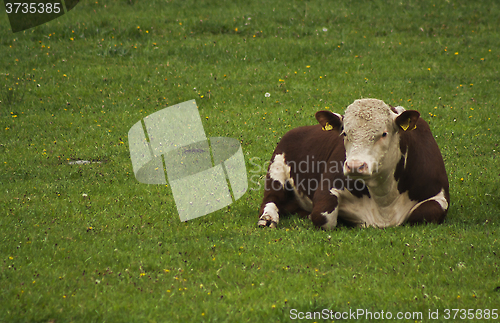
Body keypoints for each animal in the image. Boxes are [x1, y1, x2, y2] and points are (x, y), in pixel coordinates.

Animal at [258, 97, 450, 229]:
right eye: (344, 133)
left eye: (384, 133)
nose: (355, 165)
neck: (384, 201)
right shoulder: (327, 188)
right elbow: (322, 216)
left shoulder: (439, 194)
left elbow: (426, 212)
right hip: (276, 171)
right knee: (271, 199)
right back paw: (268, 219)